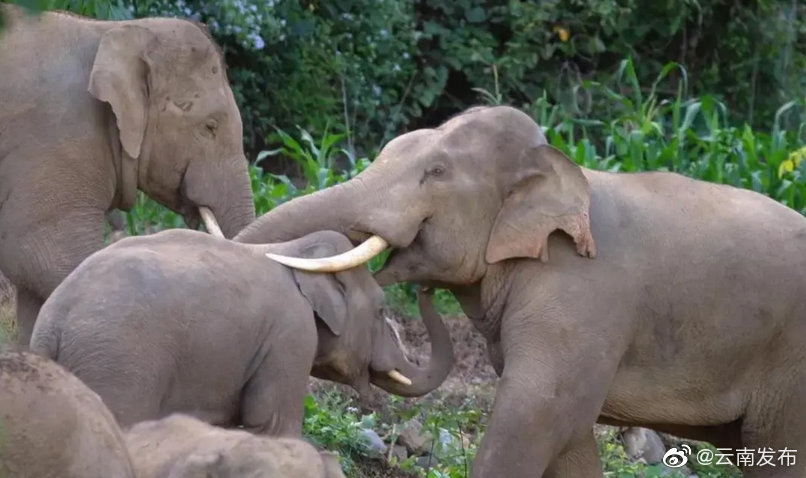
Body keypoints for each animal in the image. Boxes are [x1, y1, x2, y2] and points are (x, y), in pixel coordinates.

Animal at [29, 229, 453, 435]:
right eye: (381, 310)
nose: (428, 287)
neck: (294, 250)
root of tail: (53, 323)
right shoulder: (290, 337)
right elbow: (274, 423)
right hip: (119, 365)